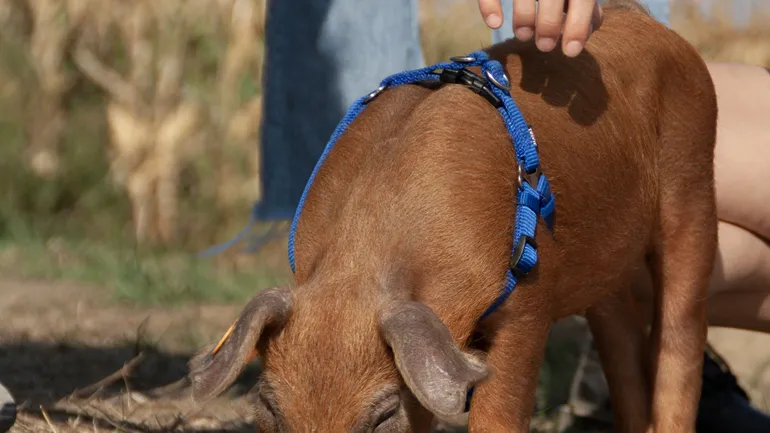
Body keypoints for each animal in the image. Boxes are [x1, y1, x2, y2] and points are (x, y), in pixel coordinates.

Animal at [188, 2, 718, 432]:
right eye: (268, 408)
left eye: (382, 416)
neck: (367, 257)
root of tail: (639, 17)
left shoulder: (528, 304)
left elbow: (498, 413)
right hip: (606, 272)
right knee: (624, 349)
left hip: (692, 187)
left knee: (679, 345)